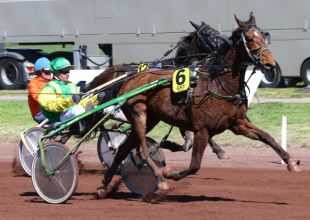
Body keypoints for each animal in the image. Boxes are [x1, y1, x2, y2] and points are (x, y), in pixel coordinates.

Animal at [97, 12, 300, 198]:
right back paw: (160, 179)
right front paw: (170, 172)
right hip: (138, 115)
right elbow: (195, 165)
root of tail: (128, 79)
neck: (218, 83)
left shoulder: (238, 123)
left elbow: (268, 137)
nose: (270, 65)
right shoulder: (201, 129)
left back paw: (104, 186)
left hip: (151, 119)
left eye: (264, 36)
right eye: (249, 38)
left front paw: (290, 161)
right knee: (141, 150)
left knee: (123, 150)